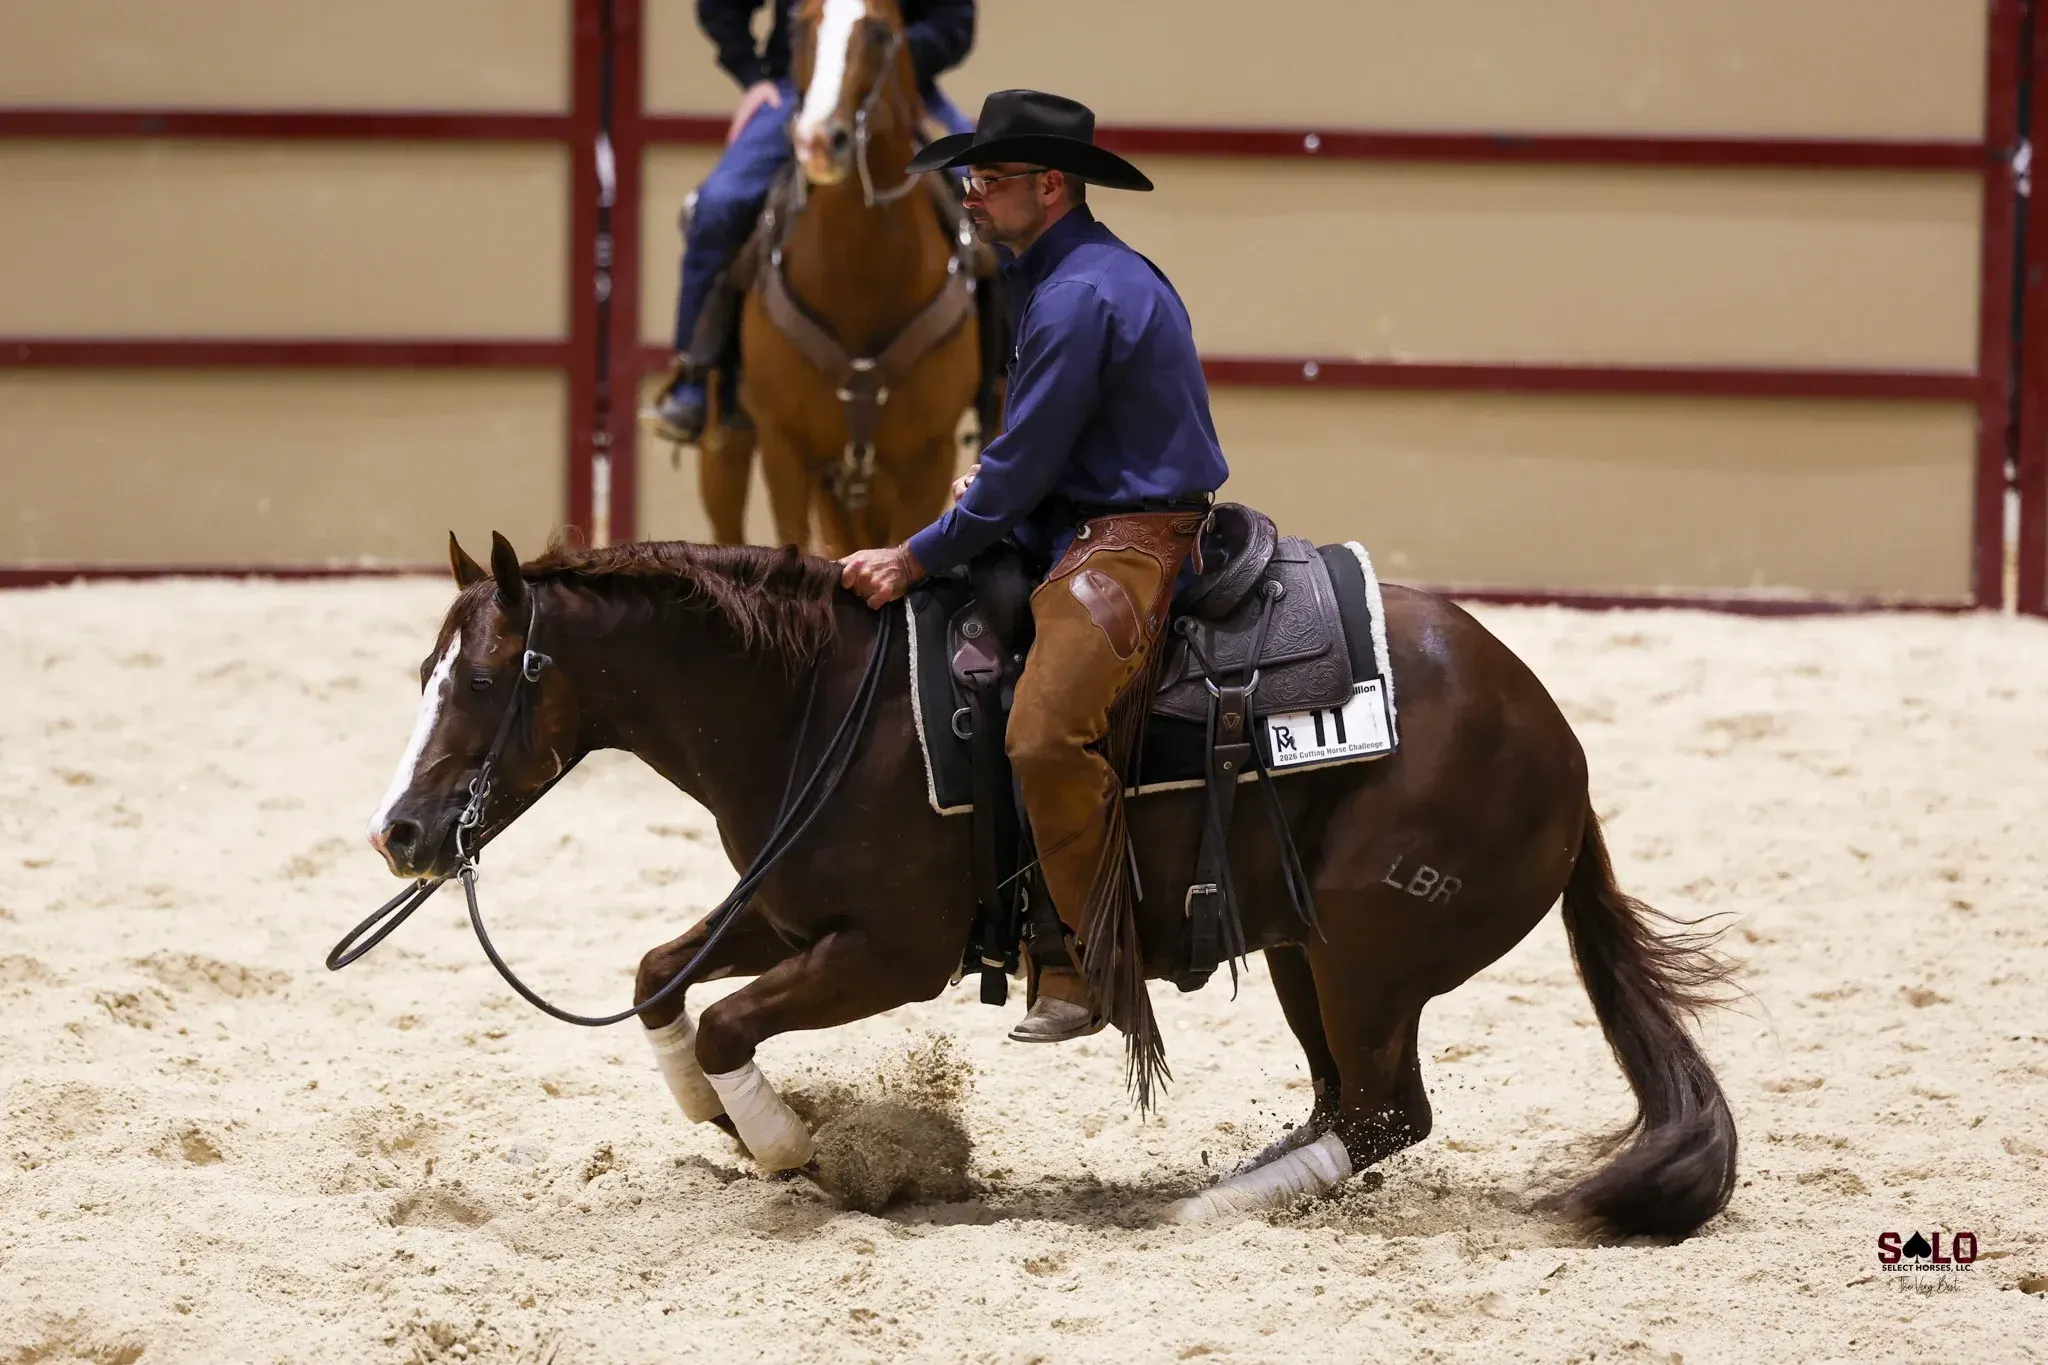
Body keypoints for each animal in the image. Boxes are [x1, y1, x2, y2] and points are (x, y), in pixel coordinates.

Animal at [363, 531, 1738, 1236]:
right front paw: (720, 1118)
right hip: (1304, 948)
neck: (821, 701)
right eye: (419, 671)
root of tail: (1554, 742)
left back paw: (1213, 1209)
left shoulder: (890, 952)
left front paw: (793, 1144)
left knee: (1386, 1112)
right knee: (1349, 1106)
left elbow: (723, 1020)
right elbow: (660, 980)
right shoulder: (787, 908)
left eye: (479, 678)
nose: (401, 832)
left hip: (1364, 955)